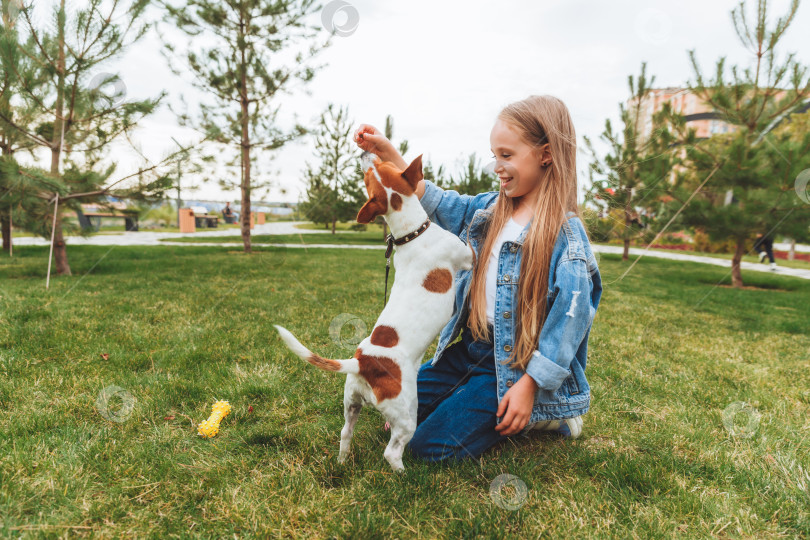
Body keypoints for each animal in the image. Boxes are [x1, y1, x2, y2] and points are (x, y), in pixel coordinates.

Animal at [274, 154, 470, 470]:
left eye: (377, 168)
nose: (364, 154)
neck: (410, 234)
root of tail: (362, 362)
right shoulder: (466, 257)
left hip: (350, 403)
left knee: (345, 433)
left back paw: (343, 462)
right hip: (406, 414)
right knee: (392, 451)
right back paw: (403, 474)